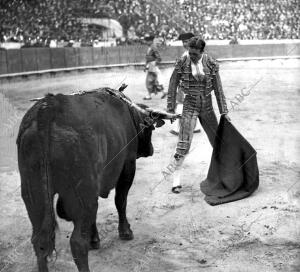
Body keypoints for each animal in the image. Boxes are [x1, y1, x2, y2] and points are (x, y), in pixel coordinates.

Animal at [16, 87, 179, 272]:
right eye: (150, 129)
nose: (150, 149)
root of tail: (49, 107)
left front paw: (94, 239)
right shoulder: (128, 166)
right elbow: (120, 201)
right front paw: (125, 231)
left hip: (33, 195)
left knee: (40, 240)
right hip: (82, 191)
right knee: (77, 242)